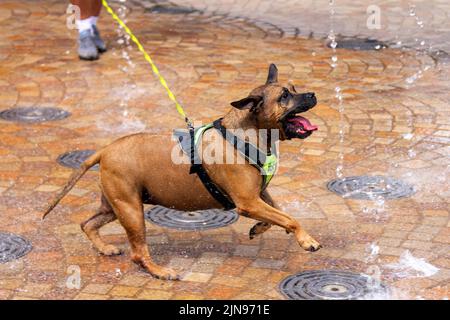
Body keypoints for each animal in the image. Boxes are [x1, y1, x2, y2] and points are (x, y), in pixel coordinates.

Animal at [42, 64, 322, 280]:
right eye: (284, 96)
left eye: (293, 88)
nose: (312, 94)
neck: (246, 133)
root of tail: (104, 149)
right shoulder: (248, 201)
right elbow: (290, 218)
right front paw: (306, 240)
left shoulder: (258, 195)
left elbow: (279, 212)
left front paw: (261, 227)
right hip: (131, 210)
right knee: (138, 253)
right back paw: (160, 271)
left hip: (114, 205)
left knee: (87, 223)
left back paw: (105, 248)